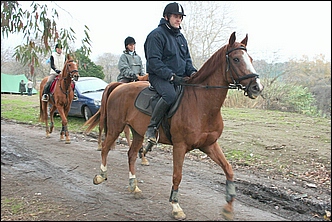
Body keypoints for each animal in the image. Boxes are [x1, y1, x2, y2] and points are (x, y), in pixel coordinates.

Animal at [84, 32, 264, 221]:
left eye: (250, 59)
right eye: (236, 59)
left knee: (131, 155)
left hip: (138, 133)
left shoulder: (209, 145)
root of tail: (120, 86)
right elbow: (177, 176)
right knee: (105, 148)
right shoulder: (180, 146)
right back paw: (101, 176)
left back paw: (134, 186)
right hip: (115, 127)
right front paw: (176, 206)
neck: (201, 104)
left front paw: (228, 207)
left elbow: (229, 170)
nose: (257, 87)